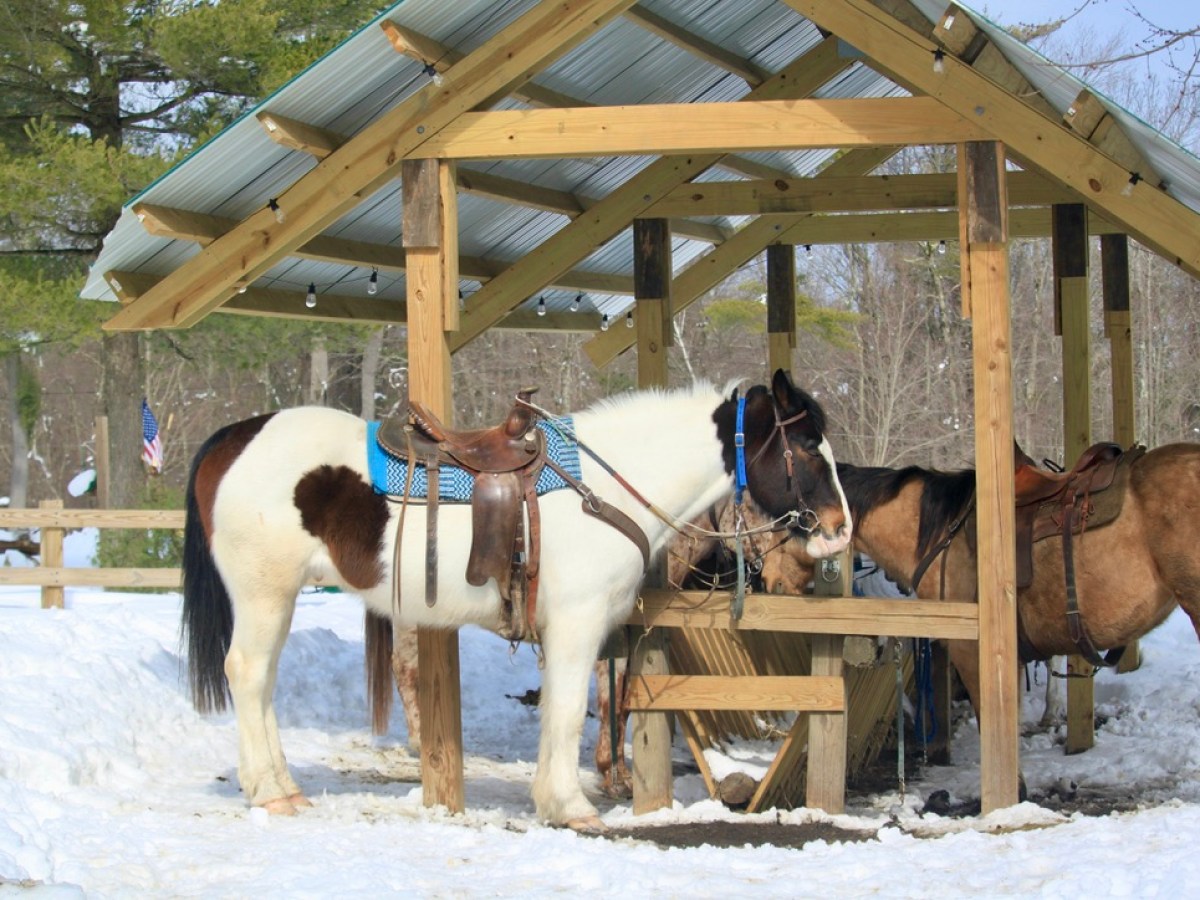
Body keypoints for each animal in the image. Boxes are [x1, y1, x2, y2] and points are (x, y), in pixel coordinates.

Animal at [180, 369, 852, 830]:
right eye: (808, 443)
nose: (839, 530)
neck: (605, 488)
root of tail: (233, 437)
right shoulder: (577, 626)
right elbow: (568, 710)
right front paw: (571, 805)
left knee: (263, 683)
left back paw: (282, 786)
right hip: (264, 594)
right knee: (248, 674)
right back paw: (270, 791)